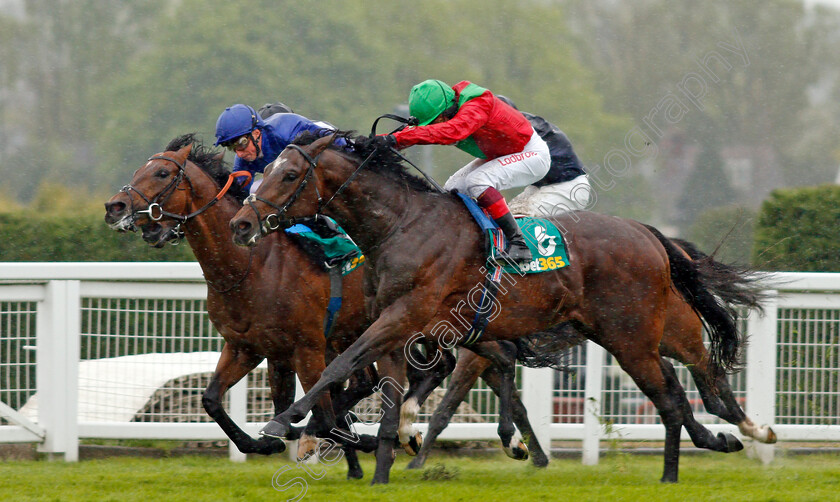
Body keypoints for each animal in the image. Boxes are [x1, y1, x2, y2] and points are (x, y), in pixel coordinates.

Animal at [102, 134, 406, 478]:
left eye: (162, 173)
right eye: (139, 170)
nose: (114, 207)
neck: (250, 267)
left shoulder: (306, 349)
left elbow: (321, 416)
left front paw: (365, 440)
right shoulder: (249, 348)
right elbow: (213, 400)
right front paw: (264, 444)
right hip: (345, 336)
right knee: (362, 383)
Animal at [406, 237, 776, 468]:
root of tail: (670, 249)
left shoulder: (477, 355)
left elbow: (446, 409)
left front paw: (417, 458)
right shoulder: (484, 356)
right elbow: (517, 406)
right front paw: (534, 455)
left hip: (672, 334)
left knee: (707, 376)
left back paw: (751, 429)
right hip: (640, 341)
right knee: (677, 383)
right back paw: (718, 435)